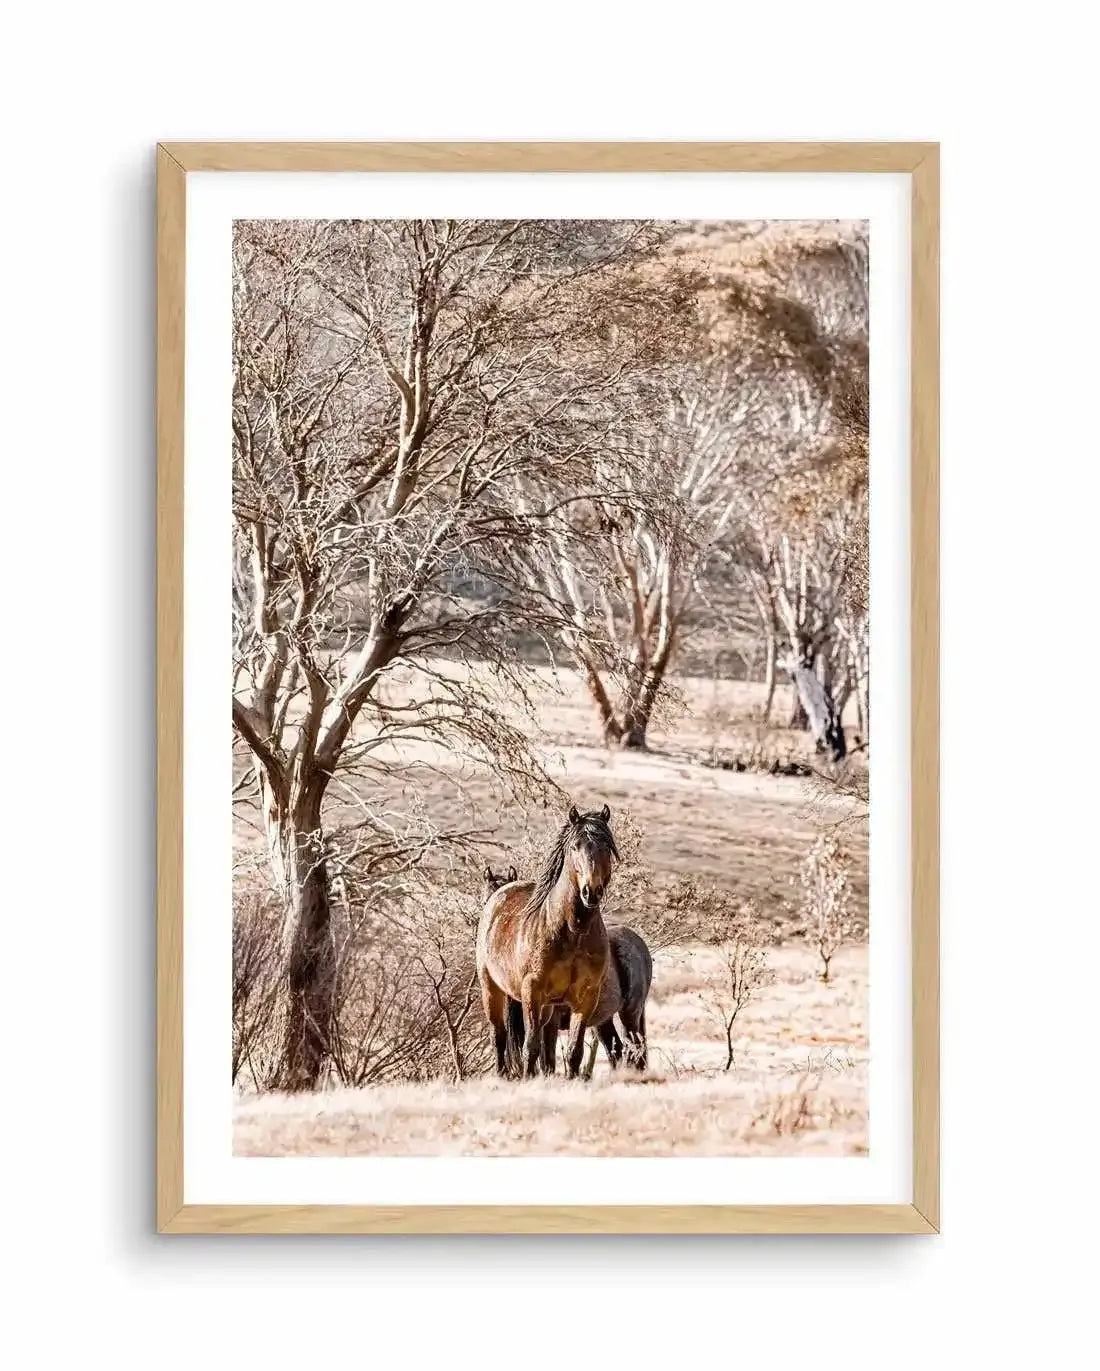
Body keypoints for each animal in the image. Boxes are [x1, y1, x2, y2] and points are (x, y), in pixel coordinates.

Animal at [476, 805, 618, 1079]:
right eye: (575, 846)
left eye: (607, 845)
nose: (591, 892)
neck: (572, 930)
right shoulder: (532, 991)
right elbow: (530, 1047)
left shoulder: (586, 997)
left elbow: (573, 1051)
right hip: (492, 989)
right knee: (499, 1035)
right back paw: (502, 1075)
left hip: (549, 1007)